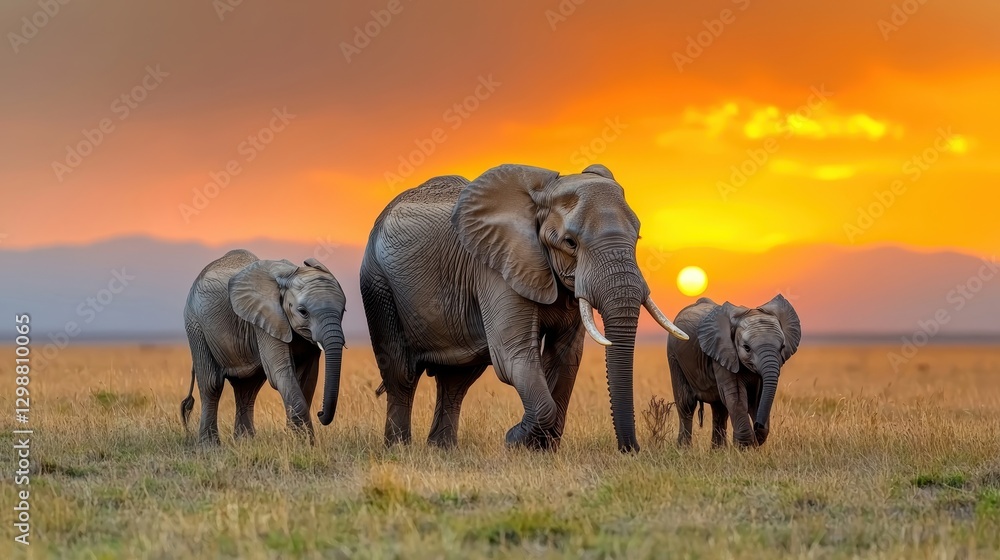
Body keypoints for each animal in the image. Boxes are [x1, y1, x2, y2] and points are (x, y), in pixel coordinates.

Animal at [180, 249, 347, 444]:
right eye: (303, 312)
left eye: (343, 311)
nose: (320, 413)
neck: (288, 276)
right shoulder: (265, 320)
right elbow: (280, 373)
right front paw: (306, 444)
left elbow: (308, 376)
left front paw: (297, 442)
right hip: (195, 325)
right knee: (211, 384)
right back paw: (210, 446)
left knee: (248, 387)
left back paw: (245, 444)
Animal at [360, 163, 688, 453]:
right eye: (570, 243)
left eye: (638, 237)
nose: (630, 449)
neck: (543, 194)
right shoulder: (496, 267)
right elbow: (513, 356)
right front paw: (514, 440)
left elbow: (566, 357)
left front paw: (541, 451)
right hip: (378, 282)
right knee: (401, 373)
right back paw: (399, 449)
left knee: (456, 379)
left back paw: (443, 450)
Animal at [667, 294, 801, 448]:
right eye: (746, 348)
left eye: (782, 347)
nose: (758, 425)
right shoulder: (723, 354)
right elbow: (736, 397)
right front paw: (745, 447)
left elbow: (757, 396)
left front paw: (754, 440)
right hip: (674, 356)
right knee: (687, 403)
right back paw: (684, 450)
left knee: (719, 408)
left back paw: (718, 451)